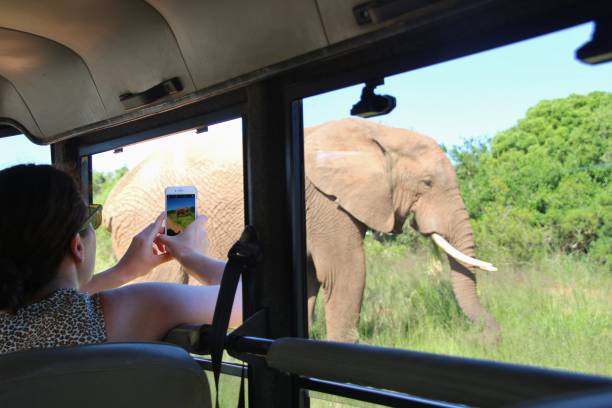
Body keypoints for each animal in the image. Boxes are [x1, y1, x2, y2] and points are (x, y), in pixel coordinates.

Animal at [104, 118, 498, 344]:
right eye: (427, 183)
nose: (492, 339)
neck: (379, 134)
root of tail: (109, 203)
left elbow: (309, 279)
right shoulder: (326, 205)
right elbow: (346, 272)